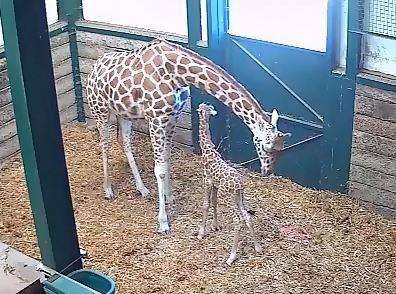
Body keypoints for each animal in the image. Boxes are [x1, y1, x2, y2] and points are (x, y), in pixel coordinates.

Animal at [87, 39, 290, 233]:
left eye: (281, 149)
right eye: (267, 147)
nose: (267, 171)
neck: (177, 74)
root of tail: (92, 70)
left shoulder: (172, 117)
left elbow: (166, 160)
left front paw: (169, 196)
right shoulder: (155, 118)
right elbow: (159, 169)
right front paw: (163, 222)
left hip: (124, 114)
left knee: (125, 142)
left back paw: (143, 189)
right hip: (101, 110)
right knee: (104, 144)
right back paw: (108, 190)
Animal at [196, 104, 262, 266]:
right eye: (206, 107)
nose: (212, 111)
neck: (207, 150)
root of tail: (239, 184)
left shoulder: (207, 180)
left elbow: (206, 204)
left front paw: (201, 233)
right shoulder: (215, 184)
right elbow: (214, 202)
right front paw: (215, 226)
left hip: (228, 196)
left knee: (238, 220)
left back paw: (231, 257)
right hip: (238, 196)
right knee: (247, 216)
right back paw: (258, 247)